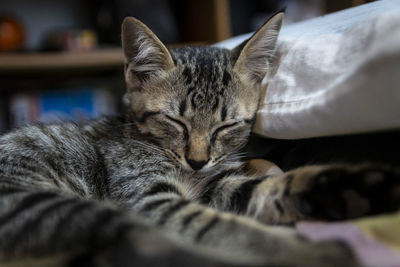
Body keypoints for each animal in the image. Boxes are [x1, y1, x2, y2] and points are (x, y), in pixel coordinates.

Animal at [0, 13, 400, 267]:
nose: (197, 161)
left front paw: (354, 187)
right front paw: (304, 250)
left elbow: (269, 188)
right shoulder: (149, 199)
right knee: (145, 245)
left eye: (226, 127)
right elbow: (222, 226)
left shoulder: (216, 185)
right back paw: (320, 252)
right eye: (175, 120)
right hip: (41, 203)